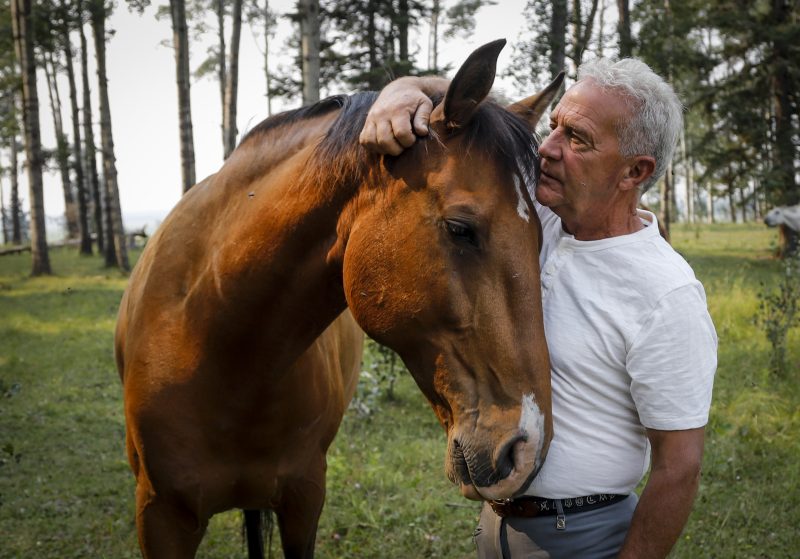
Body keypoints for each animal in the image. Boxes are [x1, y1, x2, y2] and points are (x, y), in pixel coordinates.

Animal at [115, 39, 562, 558]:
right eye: (460, 228)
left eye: (541, 238)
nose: (526, 450)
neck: (211, 336)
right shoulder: (159, 514)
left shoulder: (304, 498)